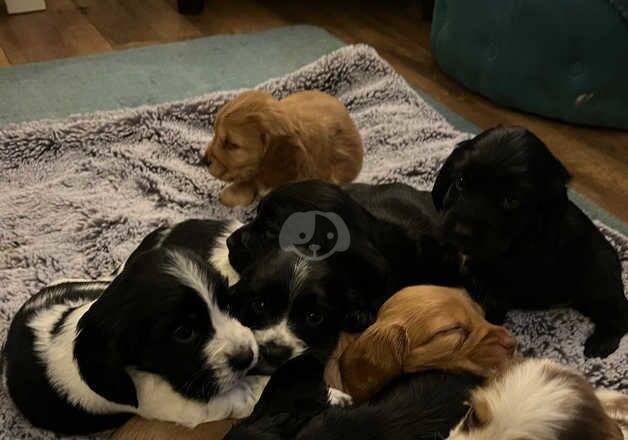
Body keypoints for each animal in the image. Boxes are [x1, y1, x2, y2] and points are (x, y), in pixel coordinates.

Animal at [432, 125, 628, 360]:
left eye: (511, 200)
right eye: (461, 181)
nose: (460, 233)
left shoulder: (496, 290)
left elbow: (485, 318)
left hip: (599, 284)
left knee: (620, 314)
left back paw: (601, 343)